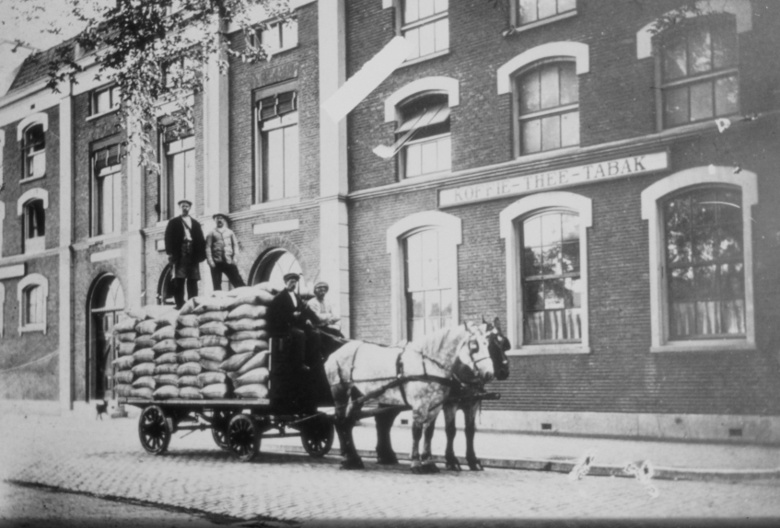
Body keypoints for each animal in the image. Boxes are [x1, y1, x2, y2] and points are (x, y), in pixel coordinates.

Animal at [324, 324, 494, 472]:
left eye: (488, 344)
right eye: (474, 346)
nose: (489, 373)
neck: (428, 364)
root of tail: (335, 354)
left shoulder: (436, 405)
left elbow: (429, 432)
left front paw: (429, 462)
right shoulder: (422, 405)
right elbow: (417, 431)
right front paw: (416, 463)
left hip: (358, 394)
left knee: (349, 422)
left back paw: (355, 458)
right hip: (340, 391)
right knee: (340, 421)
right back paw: (348, 460)